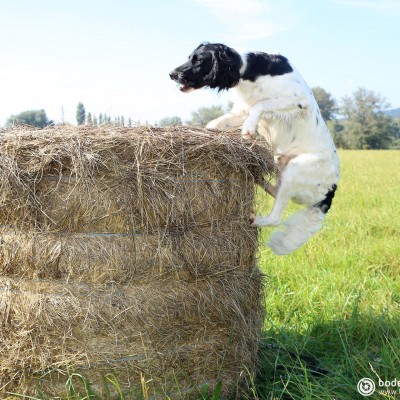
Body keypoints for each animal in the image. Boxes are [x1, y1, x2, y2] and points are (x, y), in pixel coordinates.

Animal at [169, 42, 340, 255]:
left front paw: (249, 129)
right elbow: (215, 123)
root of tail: (332, 189)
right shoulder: (241, 111)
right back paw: (258, 179)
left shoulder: (298, 100)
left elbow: (260, 104)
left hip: (296, 169)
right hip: (282, 166)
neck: (249, 72)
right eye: (190, 57)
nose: (171, 74)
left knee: (276, 218)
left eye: (198, 60)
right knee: (276, 191)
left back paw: (256, 219)